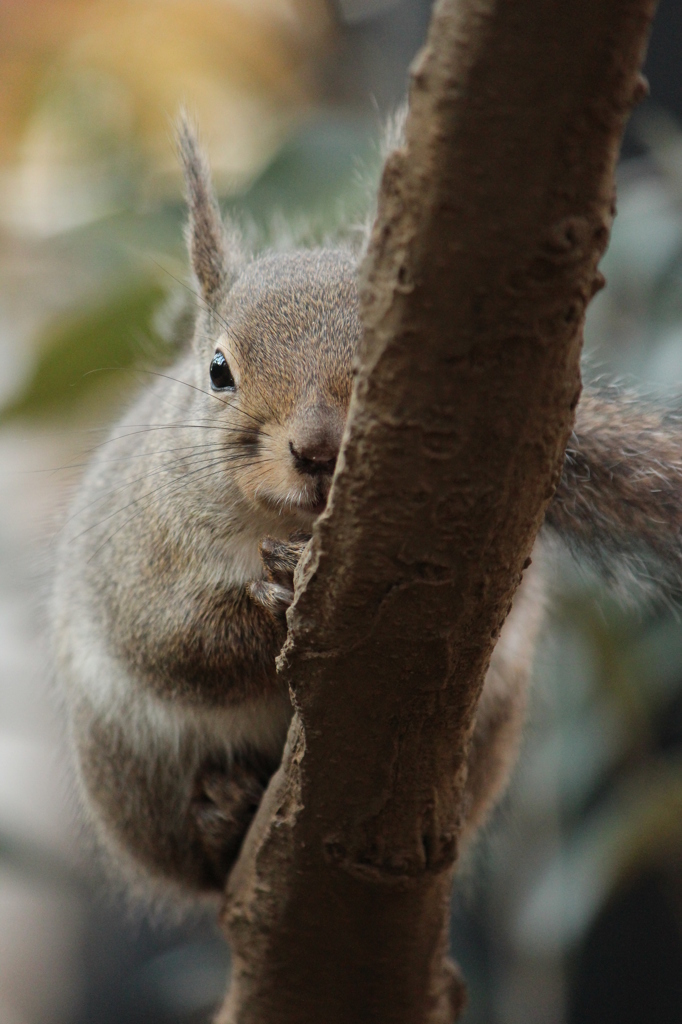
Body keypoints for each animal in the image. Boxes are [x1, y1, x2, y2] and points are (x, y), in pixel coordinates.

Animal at [51, 117, 682, 905]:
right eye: (218, 371)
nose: (319, 449)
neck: (287, 527)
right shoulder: (140, 556)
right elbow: (172, 642)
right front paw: (269, 606)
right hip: (130, 767)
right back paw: (221, 816)